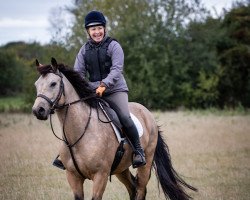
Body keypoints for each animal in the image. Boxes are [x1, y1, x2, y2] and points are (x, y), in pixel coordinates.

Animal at [32, 57, 196, 199]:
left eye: (53, 83)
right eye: (36, 85)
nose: (38, 110)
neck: (78, 135)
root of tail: (148, 114)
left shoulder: (101, 176)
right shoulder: (73, 177)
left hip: (146, 162)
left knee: (140, 189)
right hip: (121, 168)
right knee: (132, 188)